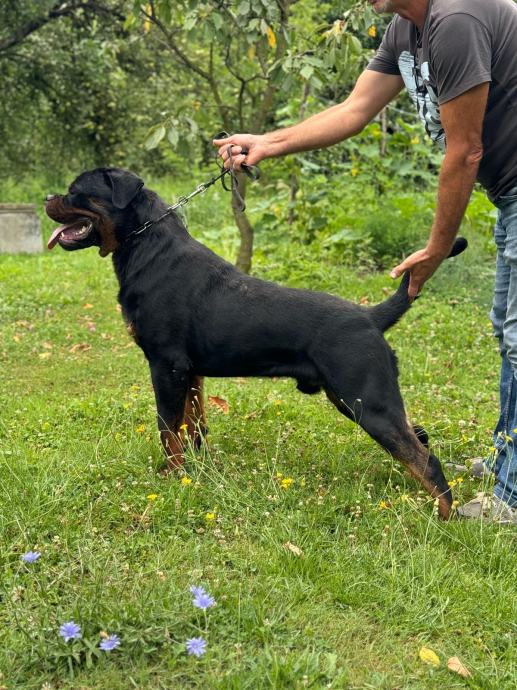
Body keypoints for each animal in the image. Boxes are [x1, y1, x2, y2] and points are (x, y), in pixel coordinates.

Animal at [45, 167, 467, 519]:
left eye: (75, 191)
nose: (48, 196)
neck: (146, 245)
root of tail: (370, 317)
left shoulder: (165, 365)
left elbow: (167, 426)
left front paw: (171, 476)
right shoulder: (190, 372)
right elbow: (193, 425)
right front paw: (196, 469)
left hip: (366, 400)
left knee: (423, 457)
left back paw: (444, 516)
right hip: (361, 398)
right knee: (420, 438)